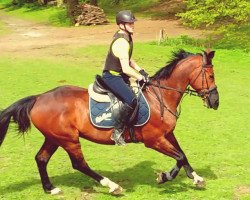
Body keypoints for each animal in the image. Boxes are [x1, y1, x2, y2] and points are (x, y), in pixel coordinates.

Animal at [0, 48, 219, 195]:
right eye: (211, 75)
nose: (215, 101)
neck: (161, 97)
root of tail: (38, 98)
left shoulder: (168, 134)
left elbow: (183, 155)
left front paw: (196, 178)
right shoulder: (154, 140)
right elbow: (179, 157)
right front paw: (165, 176)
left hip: (54, 137)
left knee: (41, 158)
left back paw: (50, 189)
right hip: (68, 139)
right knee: (79, 164)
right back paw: (113, 186)